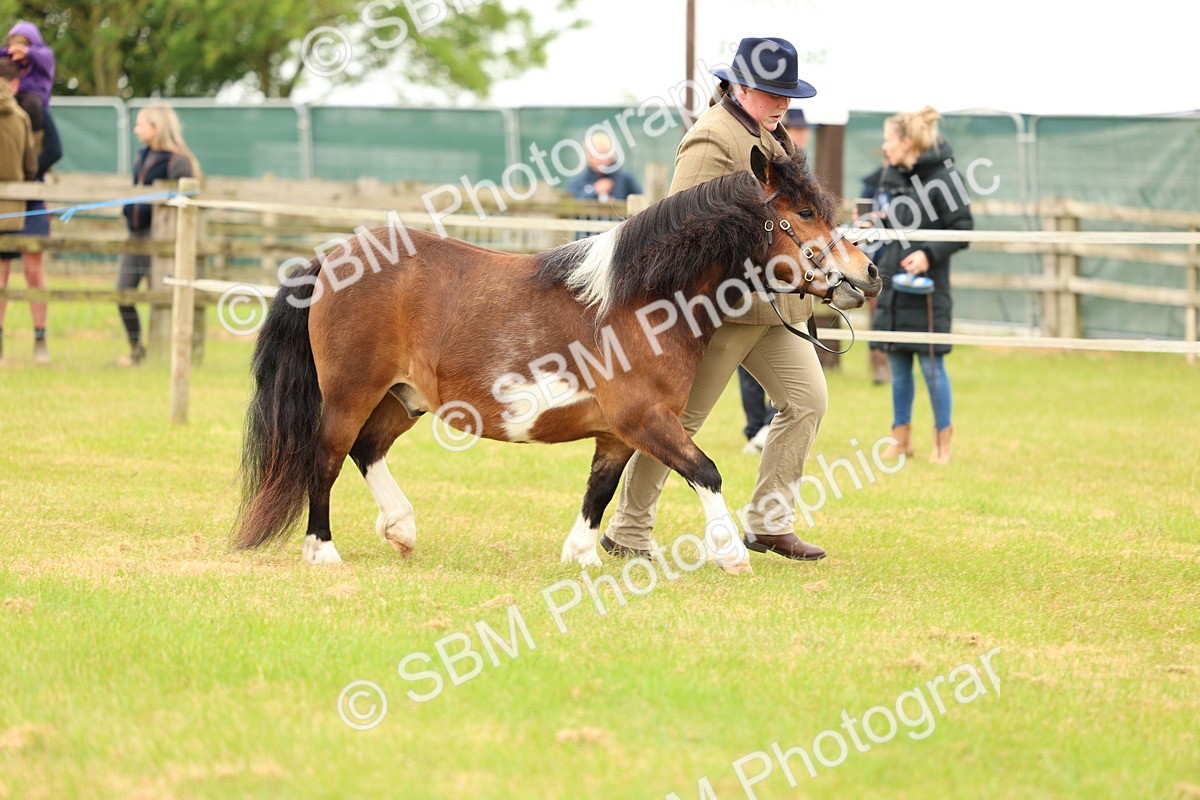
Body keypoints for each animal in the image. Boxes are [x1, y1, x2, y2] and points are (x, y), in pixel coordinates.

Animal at [232, 147, 881, 574]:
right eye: (804, 215)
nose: (867, 274)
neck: (641, 298)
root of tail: (332, 257)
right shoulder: (646, 419)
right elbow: (707, 470)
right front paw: (728, 553)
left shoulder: (620, 432)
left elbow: (601, 488)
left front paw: (581, 553)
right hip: (350, 392)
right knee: (326, 458)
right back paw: (324, 551)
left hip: (405, 396)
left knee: (367, 450)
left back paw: (402, 528)